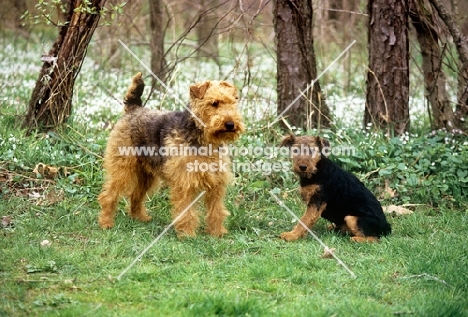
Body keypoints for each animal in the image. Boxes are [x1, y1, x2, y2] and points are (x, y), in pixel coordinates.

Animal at [98, 73, 245, 236]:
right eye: (214, 103)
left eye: (232, 103)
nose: (230, 124)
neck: (204, 139)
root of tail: (133, 109)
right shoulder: (185, 182)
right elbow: (186, 211)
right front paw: (187, 234)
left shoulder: (216, 184)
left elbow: (216, 210)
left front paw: (217, 233)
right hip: (122, 169)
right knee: (108, 196)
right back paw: (106, 223)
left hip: (146, 175)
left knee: (135, 196)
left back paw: (140, 218)